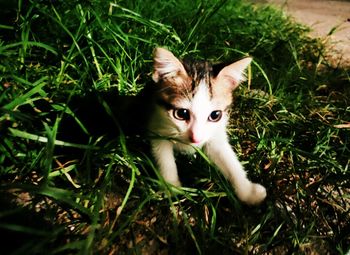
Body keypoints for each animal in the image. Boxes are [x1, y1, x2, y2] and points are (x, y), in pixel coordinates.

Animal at [147, 47, 266, 205]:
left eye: (215, 115)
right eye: (181, 113)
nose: (196, 138)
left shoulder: (216, 134)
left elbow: (230, 161)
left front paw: (248, 192)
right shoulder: (157, 128)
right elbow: (164, 159)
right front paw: (172, 189)